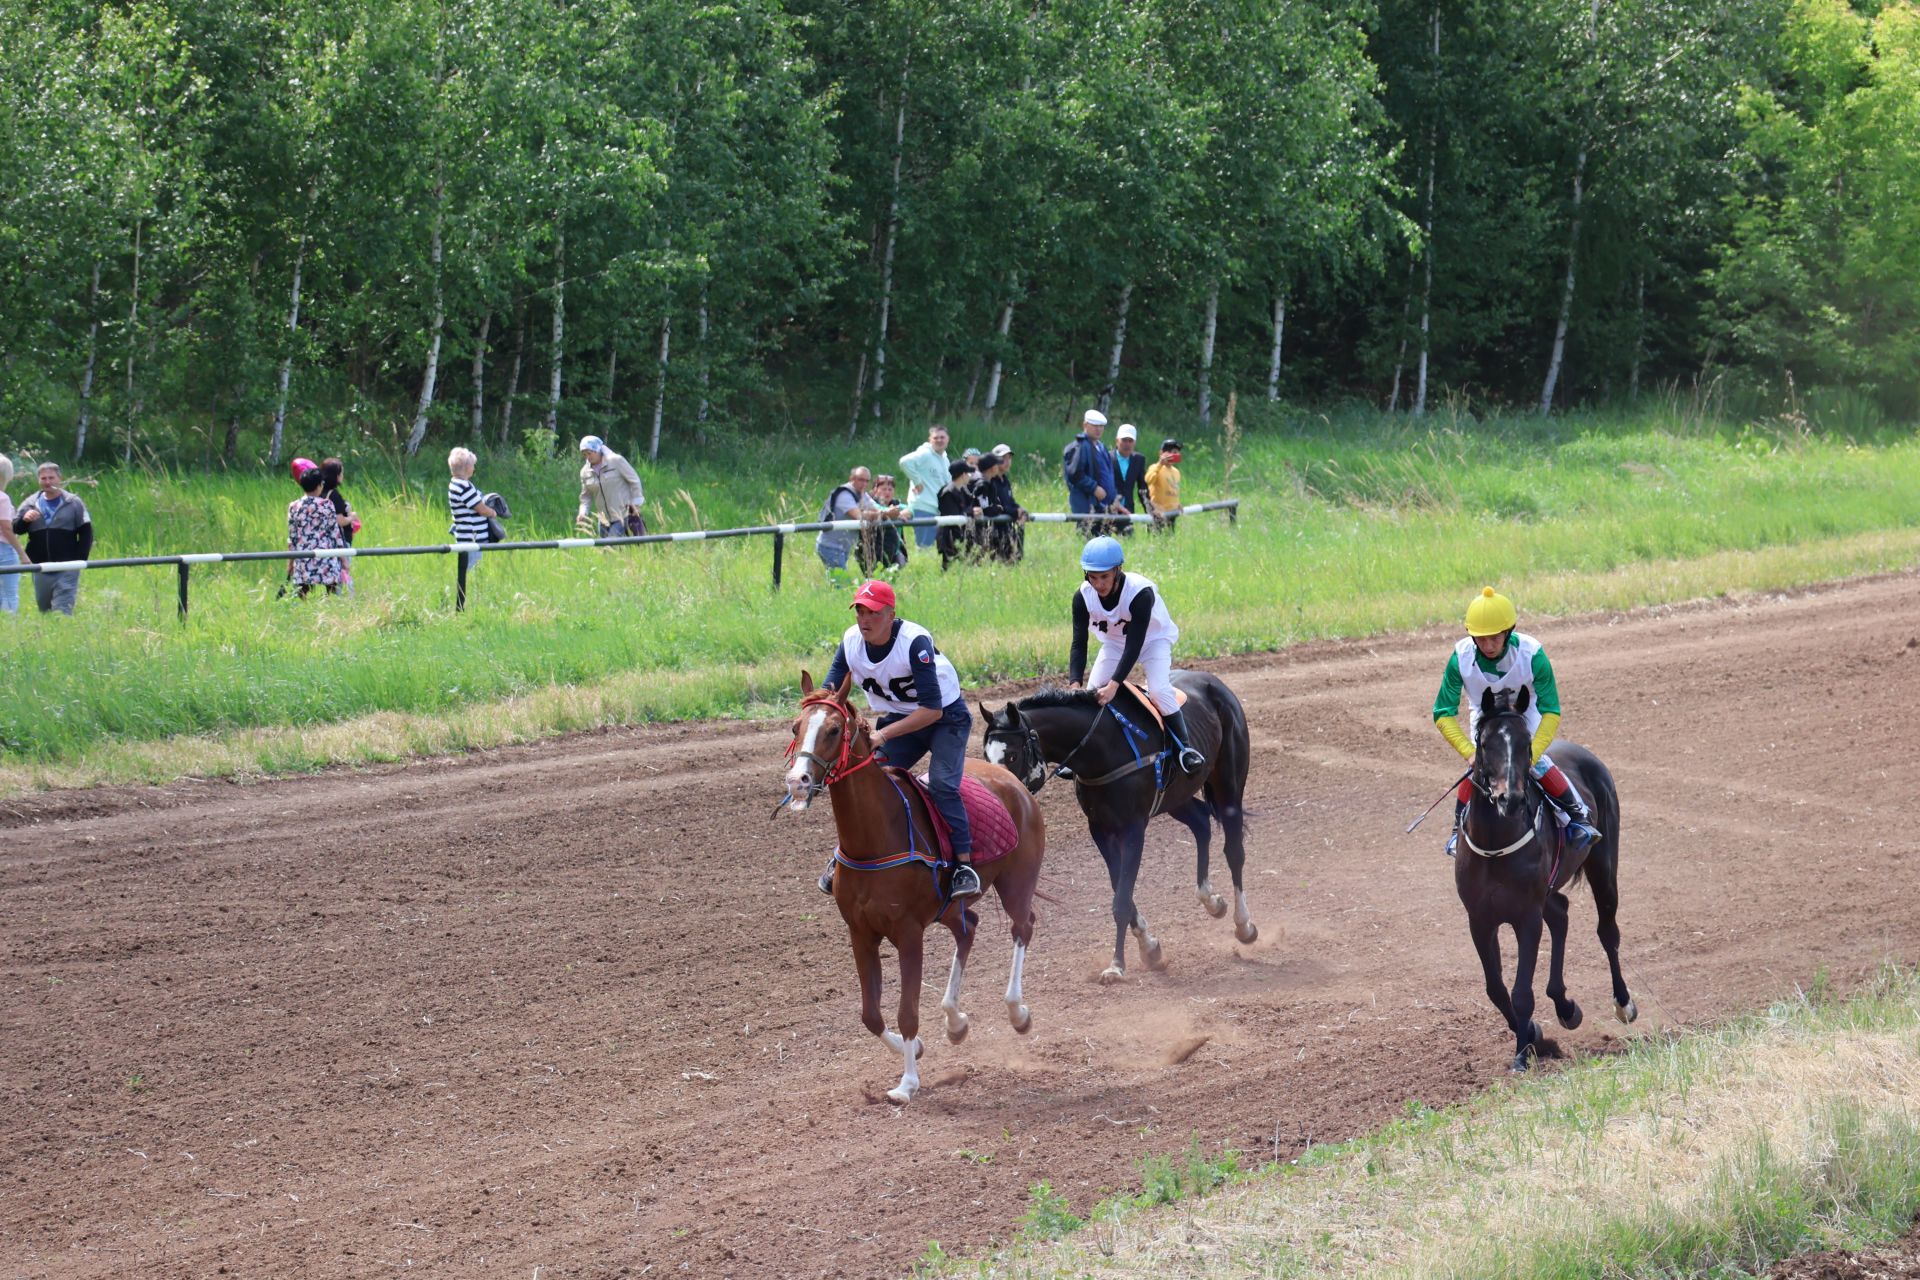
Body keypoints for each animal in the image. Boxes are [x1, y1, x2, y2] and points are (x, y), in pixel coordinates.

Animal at [783, 671, 1052, 1105]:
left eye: (834, 729)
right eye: (796, 727)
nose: (798, 780)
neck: (874, 837)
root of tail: (1014, 782)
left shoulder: (908, 933)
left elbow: (906, 1010)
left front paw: (907, 1083)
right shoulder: (860, 932)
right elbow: (870, 1014)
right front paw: (918, 1049)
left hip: (1017, 881)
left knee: (1022, 926)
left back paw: (1017, 1011)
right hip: (950, 907)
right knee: (969, 928)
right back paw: (955, 1020)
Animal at [983, 671, 1251, 982]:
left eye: (1012, 755)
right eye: (986, 756)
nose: (1002, 794)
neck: (1102, 749)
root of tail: (1214, 682)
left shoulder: (1132, 828)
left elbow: (1121, 899)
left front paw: (1117, 965)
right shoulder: (1100, 828)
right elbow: (1119, 887)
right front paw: (1149, 946)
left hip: (1229, 785)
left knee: (1234, 851)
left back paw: (1244, 925)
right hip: (1176, 798)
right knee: (1201, 823)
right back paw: (1211, 900)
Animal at [1451, 690, 1635, 1074]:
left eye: (1526, 744)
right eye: (1485, 743)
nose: (1510, 799)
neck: (1495, 843)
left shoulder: (1526, 916)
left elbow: (1521, 991)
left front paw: (1522, 1054)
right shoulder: (1480, 919)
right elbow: (1495, 988)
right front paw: (1534, 1036)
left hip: (1603, 864)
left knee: (1607, 931)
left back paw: (1623, 1003)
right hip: (1548, 890)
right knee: (1561, 912)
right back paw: (1565, 1007)